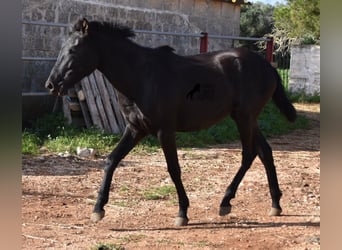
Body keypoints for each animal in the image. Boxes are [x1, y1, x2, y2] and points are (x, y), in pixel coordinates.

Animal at [45, 19, 296, 227]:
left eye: (73, 49)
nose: (51, 84)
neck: (141, 77)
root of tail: (268, 66)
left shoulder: (164, 130)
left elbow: (173, 169)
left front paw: (182, 213)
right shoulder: (135, 129)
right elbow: (111, 160)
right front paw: (98, 209)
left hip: (244, 118)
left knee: (248, 154)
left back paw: (226, 202)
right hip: (248, 119)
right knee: (265, 152)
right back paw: (275, 204)